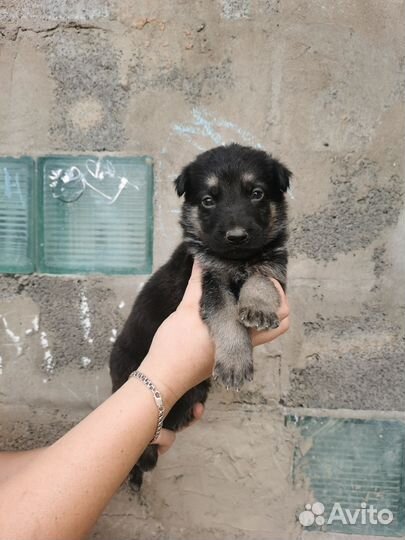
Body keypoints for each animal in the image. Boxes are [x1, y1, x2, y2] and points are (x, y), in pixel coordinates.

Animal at [109, 142, 288, 490]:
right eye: (208, 200)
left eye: (256, 194)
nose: (236, 236)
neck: (237, 260)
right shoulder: (209, 282)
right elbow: (227, 318)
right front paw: (234, 362)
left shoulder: (275, 269)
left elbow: (259, 277)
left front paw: (258, 306)